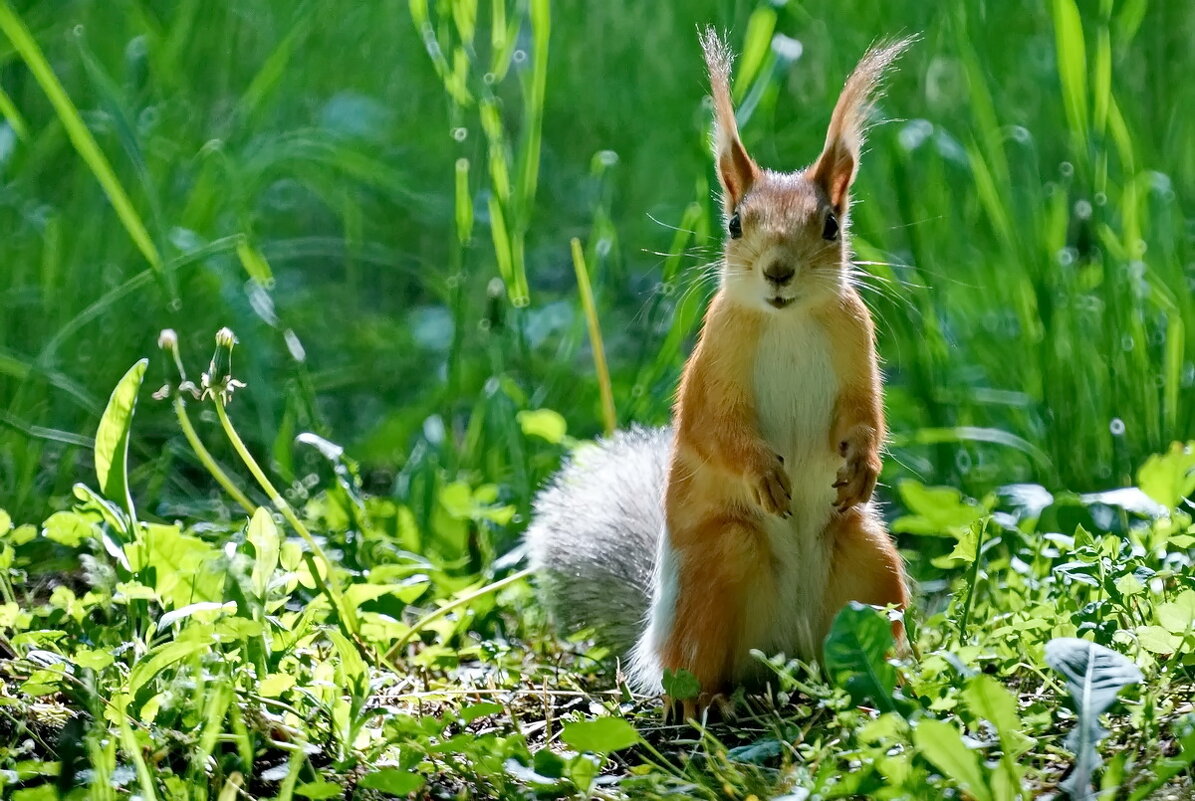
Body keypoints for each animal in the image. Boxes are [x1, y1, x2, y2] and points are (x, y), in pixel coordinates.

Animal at [528, 29, 908, 717]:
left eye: (831, 225)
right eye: (735, 224)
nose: (778, 271)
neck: (786, 323)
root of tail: (788, 645)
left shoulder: (856, 346)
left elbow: (866, 413)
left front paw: (863, 466)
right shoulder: (714, 363)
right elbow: (715, 429)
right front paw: (762, 475)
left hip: (869, 562)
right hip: (719, 571)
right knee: (697, 666)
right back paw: (702, 702)